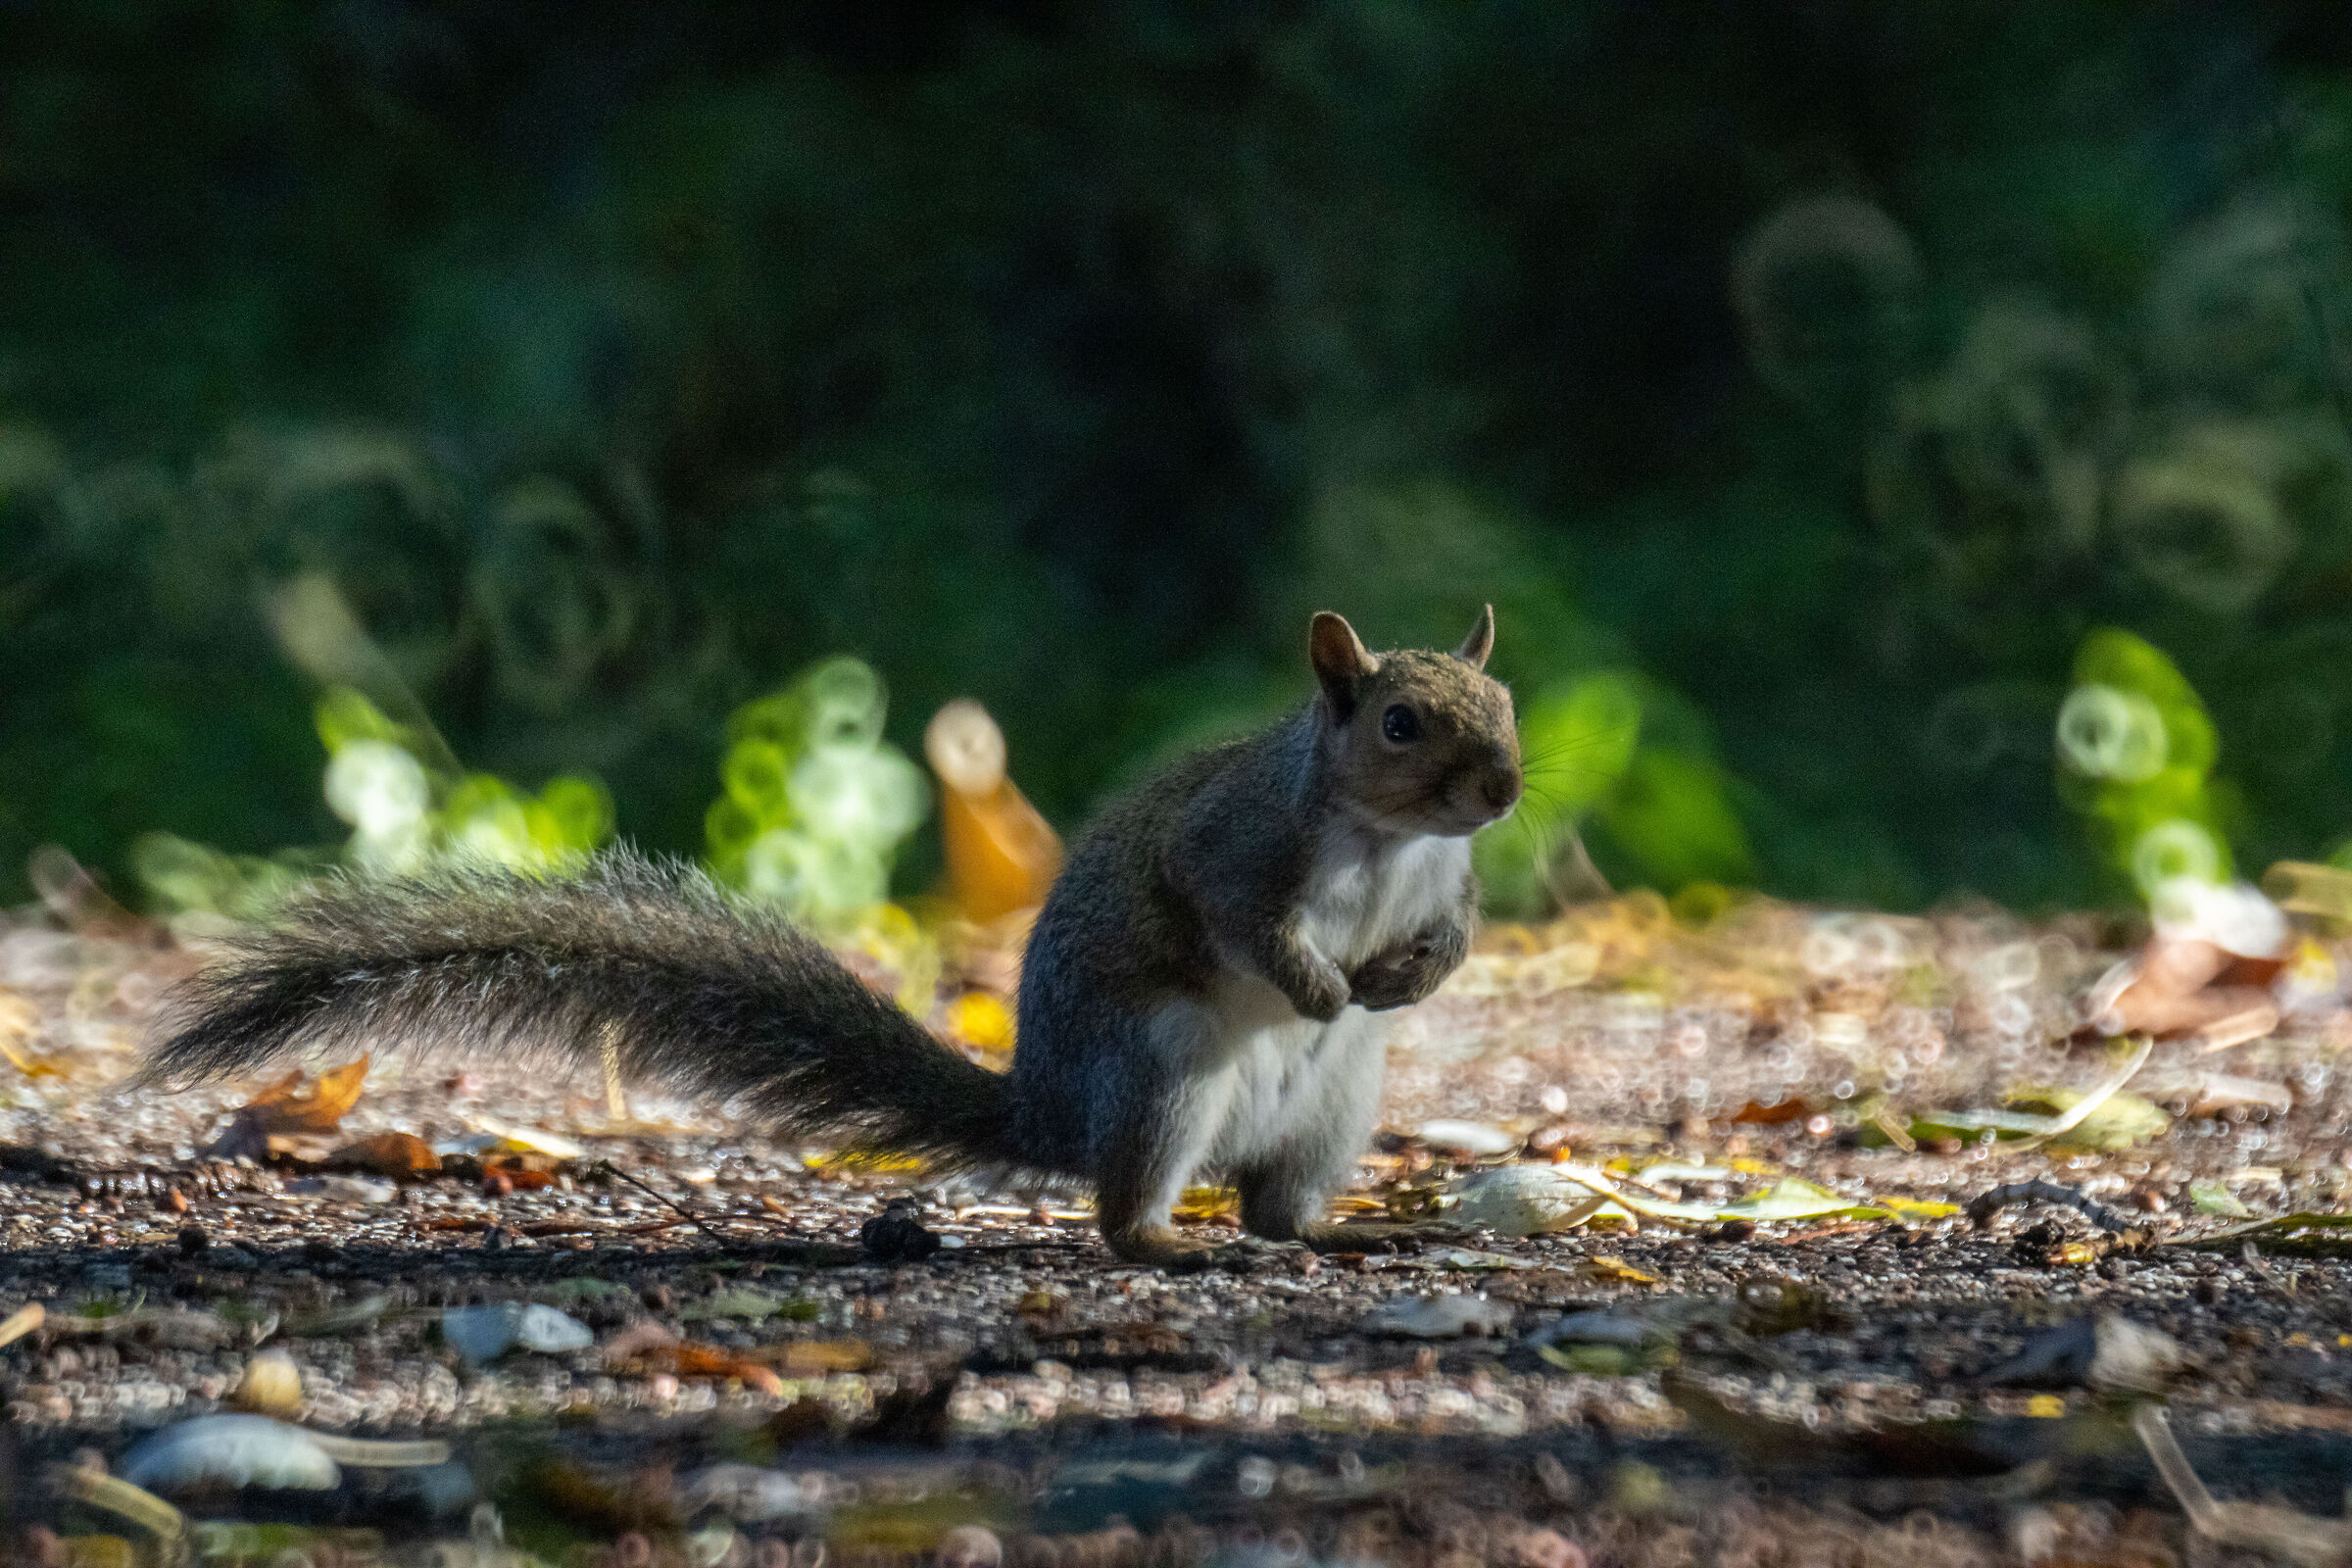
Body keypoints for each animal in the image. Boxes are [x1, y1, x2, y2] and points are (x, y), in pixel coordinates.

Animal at [145, 607, 1523, 1268]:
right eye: (1400, 722)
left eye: (1504, 698)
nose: (1506, 788)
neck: (1385, 838)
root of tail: (1050, 1113)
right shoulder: (1234, 846)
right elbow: (1231, 915)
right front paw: (1316, 979)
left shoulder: (1446, 880)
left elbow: (1455, 932)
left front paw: (1409, 974)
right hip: (1163, 1075)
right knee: (1128, 1211)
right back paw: (1169, 1242)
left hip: (1338, 1105)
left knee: (1279, 1214)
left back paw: (1350, 1227)